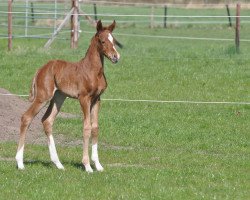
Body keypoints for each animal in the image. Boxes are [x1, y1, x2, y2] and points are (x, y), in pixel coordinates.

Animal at [15, 20, 120, 173]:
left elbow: (95, 128)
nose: (115, 57)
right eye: (102, 41)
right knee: (26, 117)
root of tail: (40, 69)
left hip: (59, 98)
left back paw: (58, 164)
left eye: (114, 40)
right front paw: (87, 165)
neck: (93, 70)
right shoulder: (84, 98)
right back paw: (20, 163)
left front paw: (98, 165)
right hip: (43, 97)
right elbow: (86, 127)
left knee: (47, 121)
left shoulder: (97, 99)